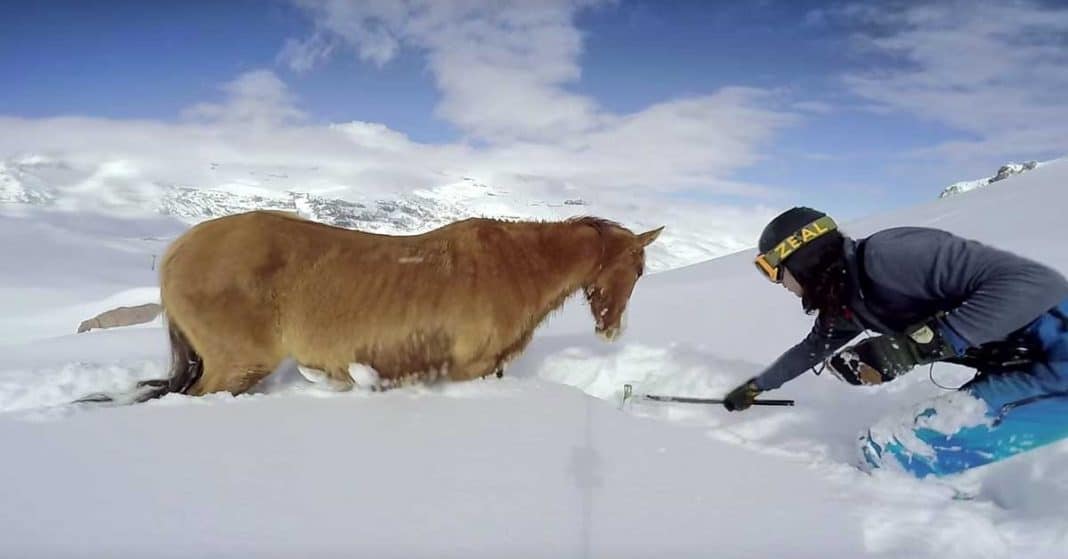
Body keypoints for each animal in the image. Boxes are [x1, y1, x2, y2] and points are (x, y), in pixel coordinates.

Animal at [116, 211, 657, 401]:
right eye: (637, 269)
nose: (612, 330)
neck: (516, 265)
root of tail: (177, 253)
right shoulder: (469, 367)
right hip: (237, 365)